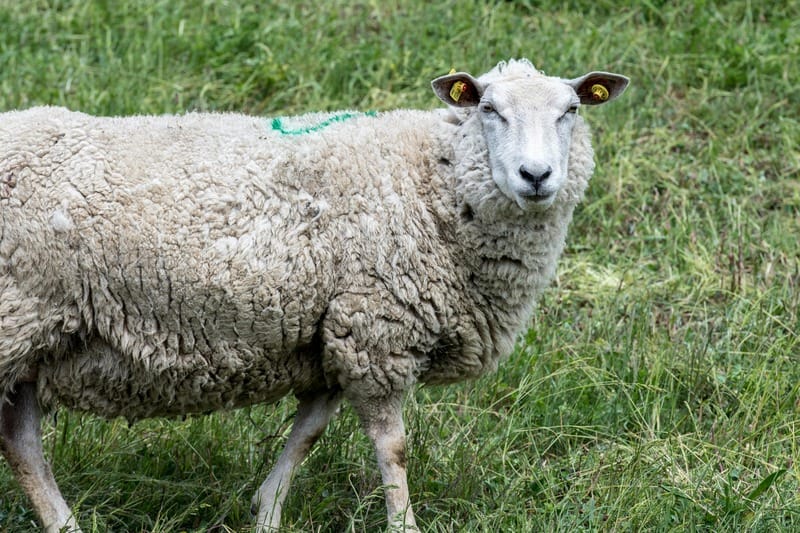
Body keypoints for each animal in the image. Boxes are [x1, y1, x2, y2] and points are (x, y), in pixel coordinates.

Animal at [0, 58, 628, 532]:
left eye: (571, 110)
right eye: (489, 110)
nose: (536, 176)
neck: (434, 182)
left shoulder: (334, 335)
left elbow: (308, 434)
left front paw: (266, 512)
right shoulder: (378, 332)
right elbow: (393, 448)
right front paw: (403, 524)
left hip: (33, 345)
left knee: (21, 442)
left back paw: (65, 525)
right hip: (18, 323)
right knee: (21, 441)